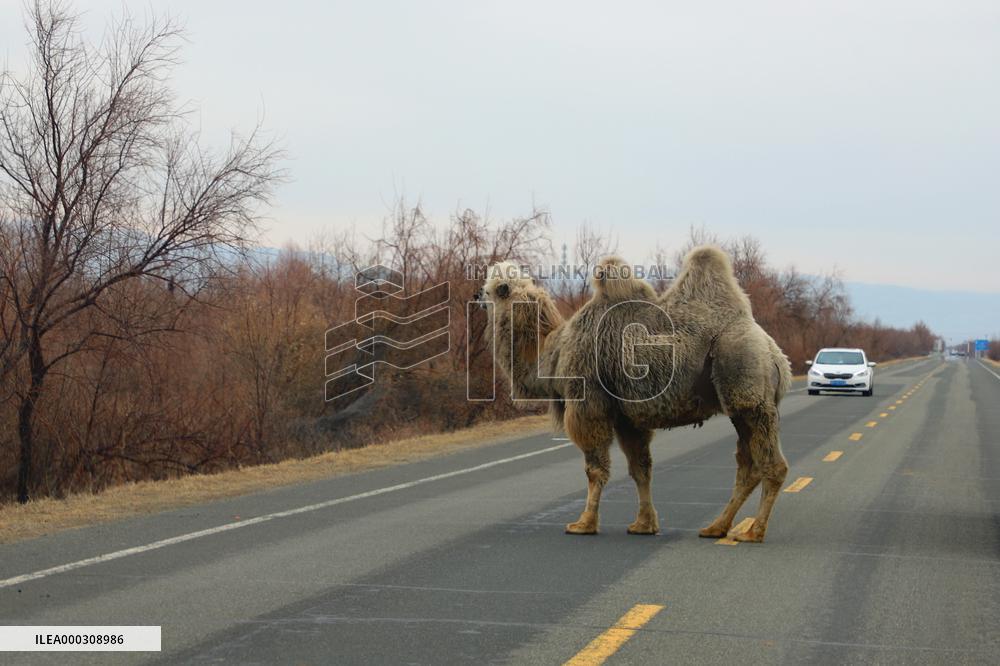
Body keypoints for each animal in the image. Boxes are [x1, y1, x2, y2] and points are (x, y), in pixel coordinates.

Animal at [478, 247, 791, 542]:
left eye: (493, 288)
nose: (477, 296)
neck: (552, 354)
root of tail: (776, 355)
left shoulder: (588, 403)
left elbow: (595, 469)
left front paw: (583, 524)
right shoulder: (626, 419)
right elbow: (640, 469)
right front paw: (644, 525)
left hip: (748, 385)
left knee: (772, 464)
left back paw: (752, 532)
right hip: (740, 405)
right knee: (748, 465)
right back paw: (716, 527)